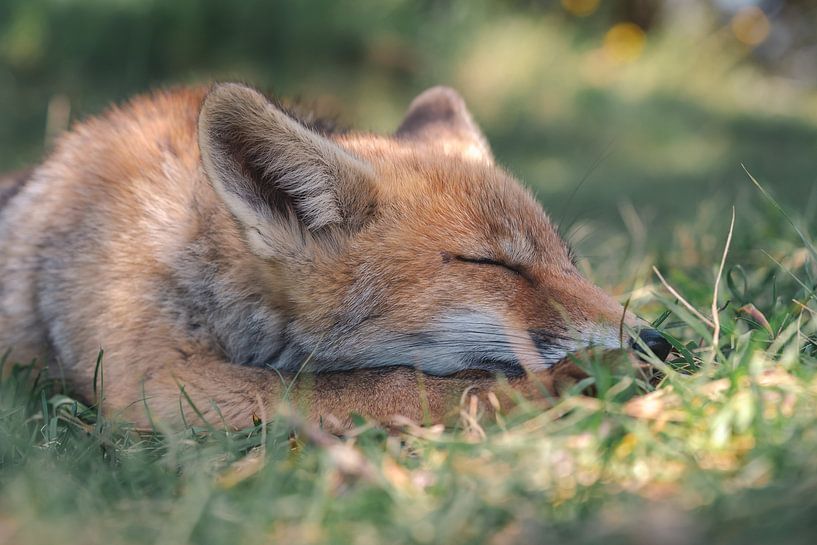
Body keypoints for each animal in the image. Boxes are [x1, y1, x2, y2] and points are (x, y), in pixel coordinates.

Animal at [0, 83, 671, 431]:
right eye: (494, 266)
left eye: (570, 261)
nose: (660, 345)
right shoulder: (153, 380)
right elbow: (372, 385)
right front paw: (549, 390)